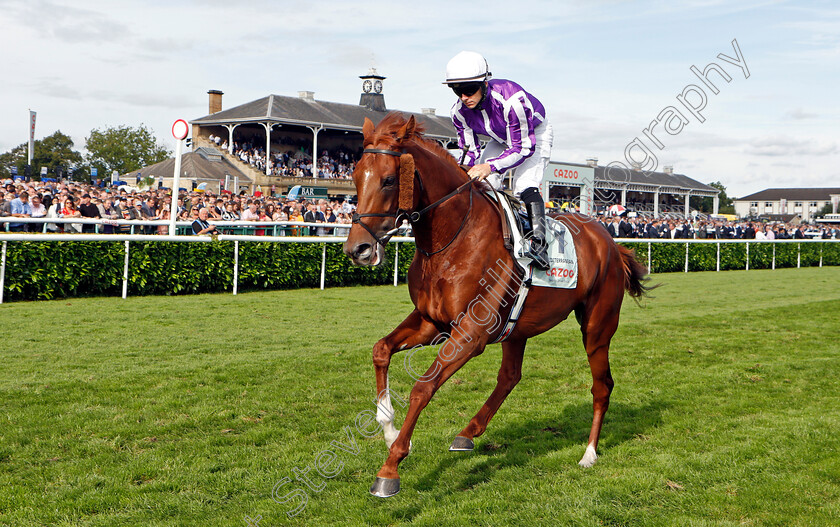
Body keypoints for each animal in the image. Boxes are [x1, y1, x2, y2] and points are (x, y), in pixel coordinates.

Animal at [342, 112, 648, 500]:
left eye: (388, 179)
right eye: (354, 175)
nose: (358, 249)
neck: (451, 238)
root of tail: (610, 241)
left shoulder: (471, 333)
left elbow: (422, 387)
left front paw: (390, 468)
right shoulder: (431, 321)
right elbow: (381, 349)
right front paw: (388, 427)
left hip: (597, 326)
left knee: (602, 385)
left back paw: (589, 453)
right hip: (517, 327)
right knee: (510, 376)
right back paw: (468, 432)